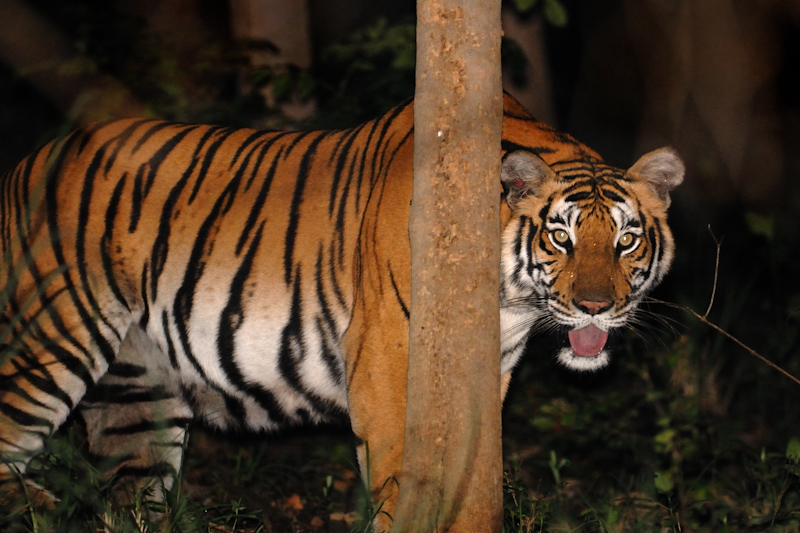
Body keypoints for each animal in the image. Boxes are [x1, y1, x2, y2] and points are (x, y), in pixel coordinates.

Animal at [0, 92, 680, 528]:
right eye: (561, 237)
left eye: (626, 240)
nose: (597, 307)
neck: (508, 305)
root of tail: (23, 164)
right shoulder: (388, 369)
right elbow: (410, 484)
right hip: (49, 340)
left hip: (138, 398)